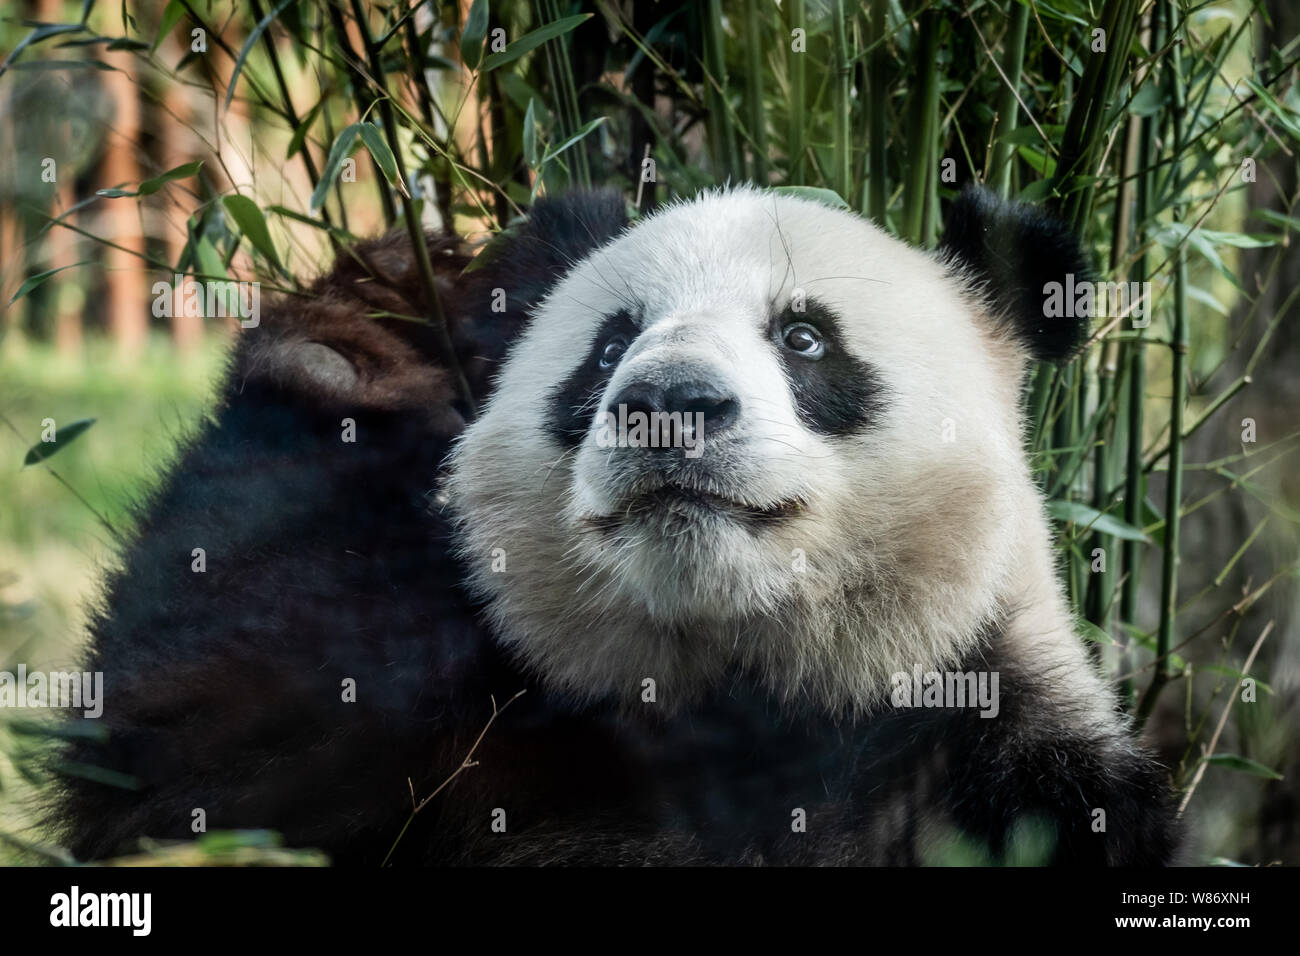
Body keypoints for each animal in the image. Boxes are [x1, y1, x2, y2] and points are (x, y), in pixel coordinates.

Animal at [53, 183, 1180, 863]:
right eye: (607, 346)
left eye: (804, 336)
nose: (667, 402)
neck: (735, 690)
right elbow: (190, 781)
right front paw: (368, 328)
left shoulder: (1015, 771)